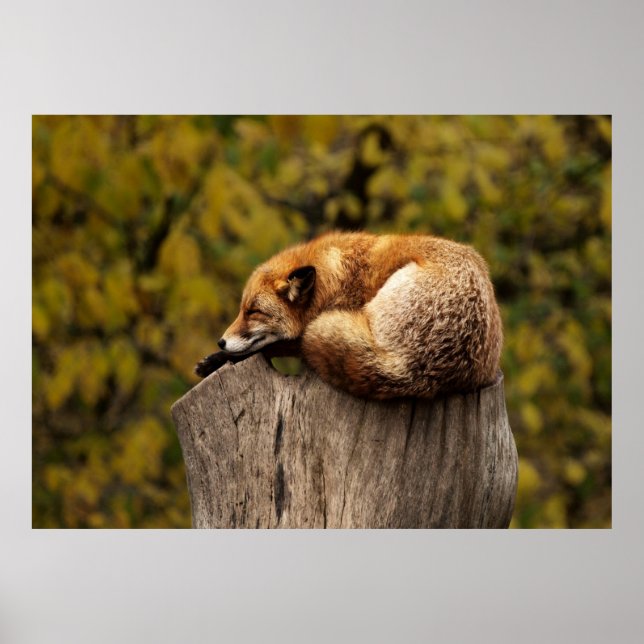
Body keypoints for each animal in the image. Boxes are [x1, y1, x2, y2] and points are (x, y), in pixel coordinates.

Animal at [195, 231, 503, 400]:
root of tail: (414, 370)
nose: (221, 341)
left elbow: (276, 346)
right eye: (241, 310)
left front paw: (219, 359)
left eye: (254, 312)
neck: (335, 279)